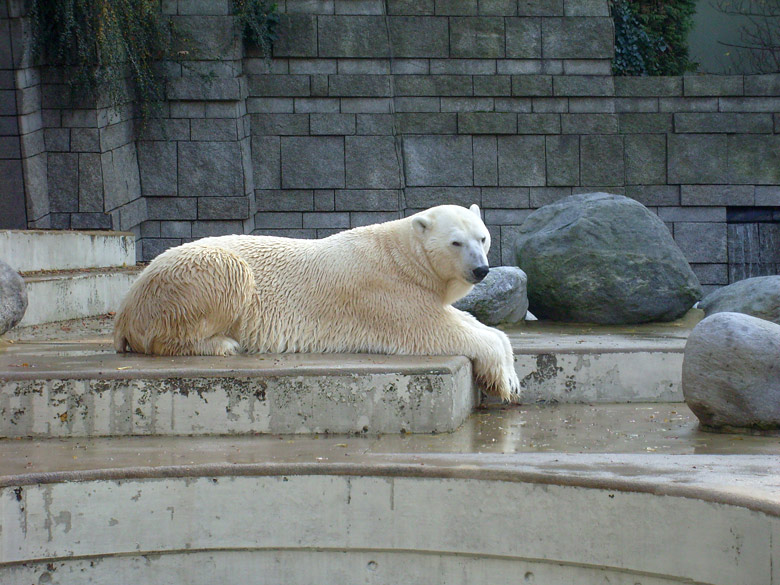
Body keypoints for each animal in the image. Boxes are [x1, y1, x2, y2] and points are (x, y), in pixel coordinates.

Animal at [112, 203, 520, 400]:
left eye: (482, 237)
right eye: (456, 242)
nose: (481, 270)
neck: (402, 255)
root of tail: (126, 305)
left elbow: (473, 324)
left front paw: (510, 373)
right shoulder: (386, 293)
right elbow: (434, 329)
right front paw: (505, 383)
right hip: (195, 275)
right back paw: (221, 344)